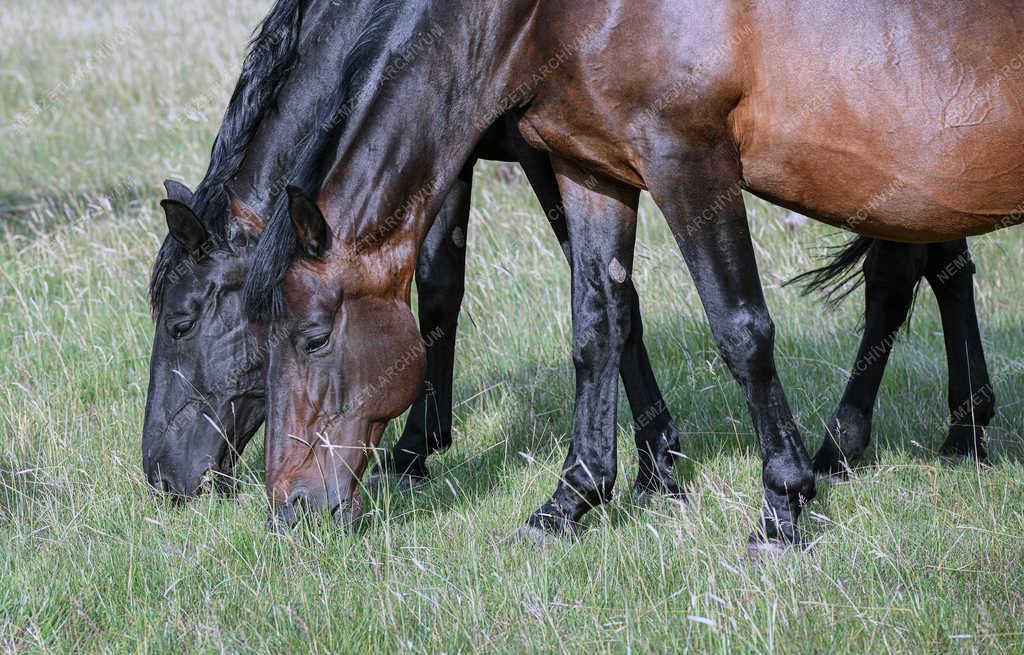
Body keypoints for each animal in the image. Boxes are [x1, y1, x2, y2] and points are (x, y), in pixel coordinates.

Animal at [245, 1, 1024, 548]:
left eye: (313, 338)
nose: (287, 509)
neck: (546, 13)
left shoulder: (688, 158)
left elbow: (741, 330)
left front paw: (782, 507)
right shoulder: (590, 168)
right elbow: (598, 326)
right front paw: (572, 500)